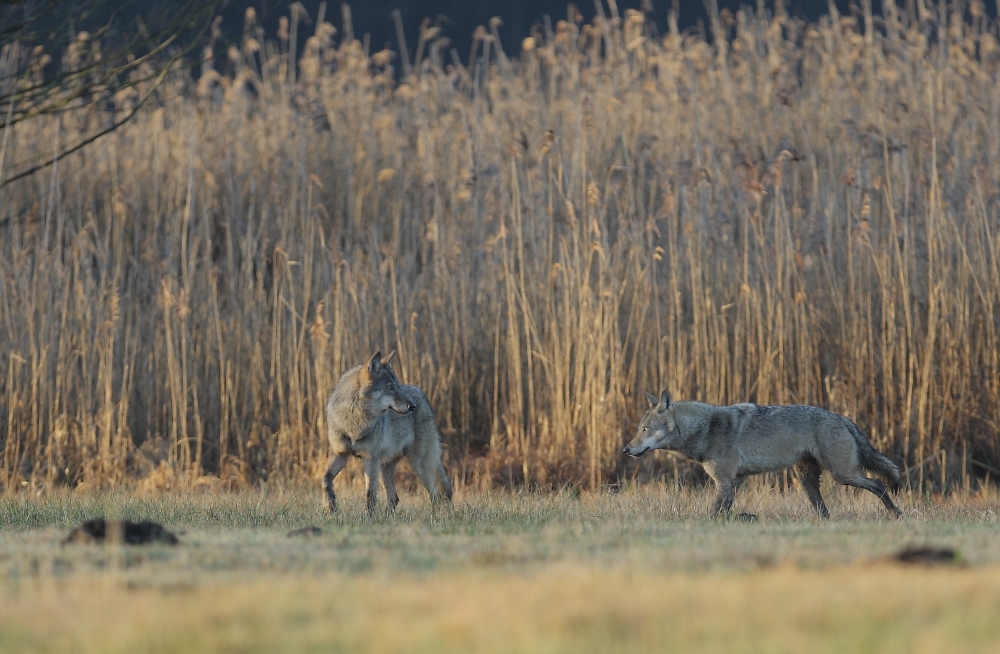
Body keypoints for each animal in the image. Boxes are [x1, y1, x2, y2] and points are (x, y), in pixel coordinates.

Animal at [324, 352, 454, 516]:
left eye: (397, 386)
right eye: (390, 387)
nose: (412, 407)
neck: (354, 420)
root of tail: (421, 394)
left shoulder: (370, 459)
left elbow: (370, 495)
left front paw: (369, 518)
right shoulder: (340, 454)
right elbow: (325, 480)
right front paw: (331, 507)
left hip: (418, 465)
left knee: (435, 495)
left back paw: (434, 517)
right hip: (384, 467)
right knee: (394, 498)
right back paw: (388, 517)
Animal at [620, 392, 904, 520]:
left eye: (645, 430)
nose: (626, 450)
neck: (705, 429)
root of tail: (841, 417)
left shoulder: (724, 481)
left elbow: (714, 512)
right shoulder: (733, 482)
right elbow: (724, 511)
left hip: (843, 475)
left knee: (879, 484)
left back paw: (897, 513)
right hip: (809, 481)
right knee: (824, 510)